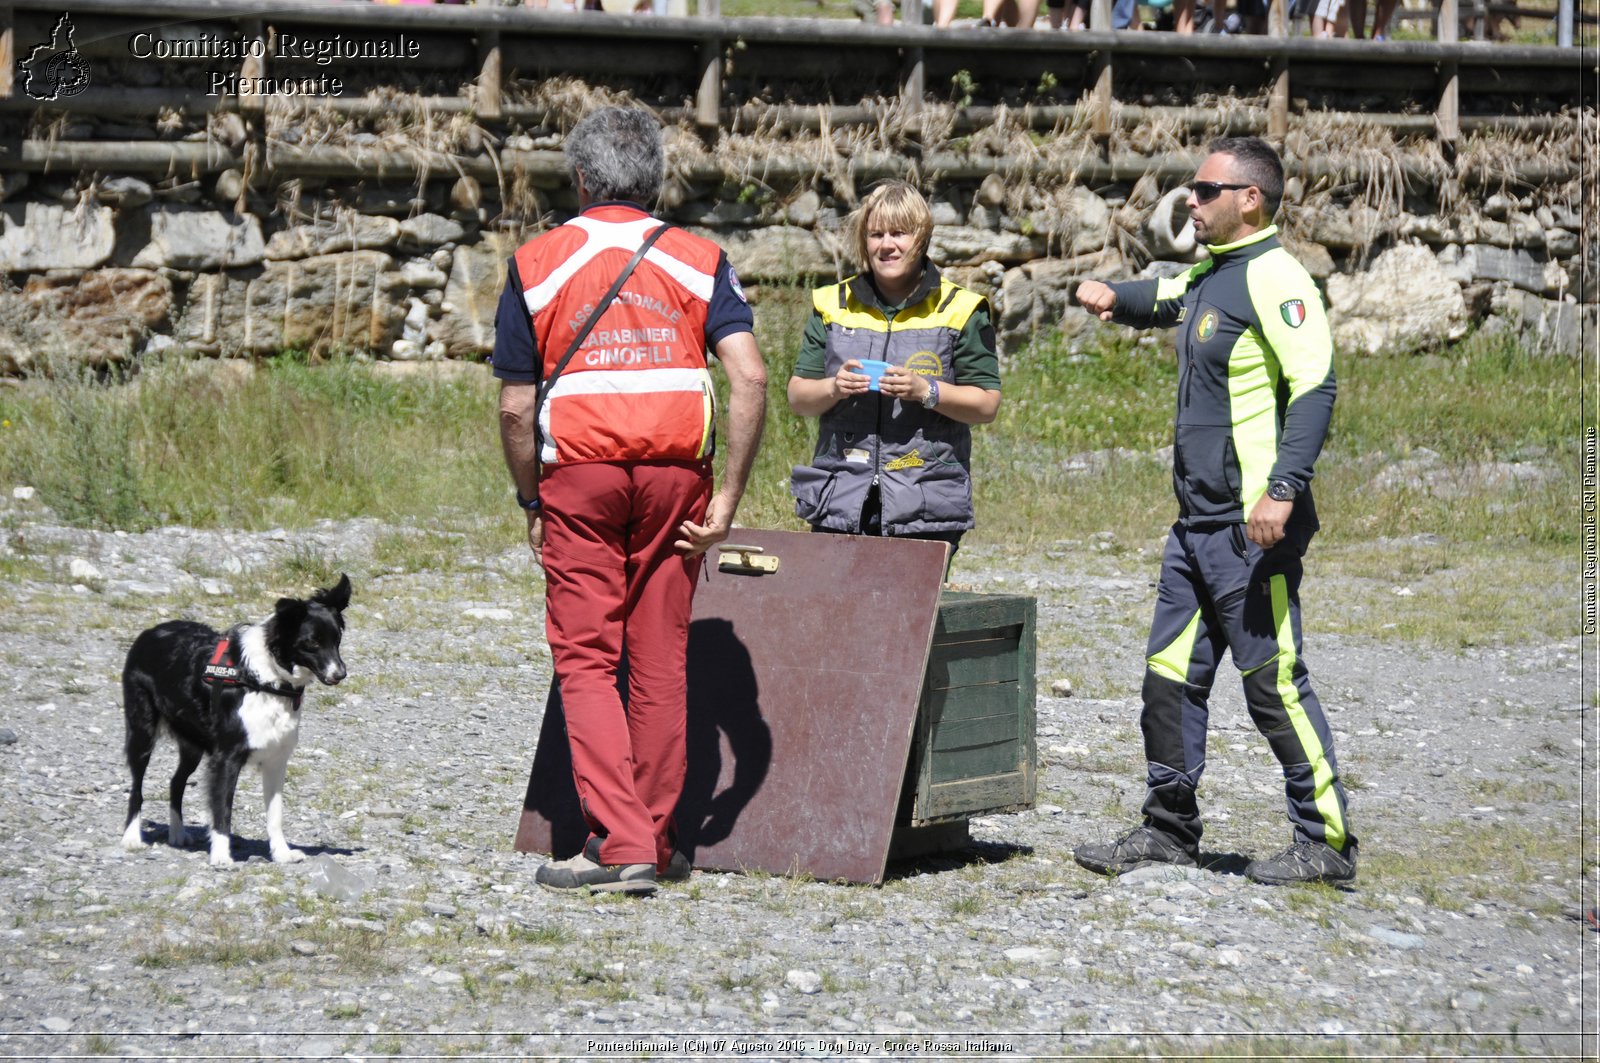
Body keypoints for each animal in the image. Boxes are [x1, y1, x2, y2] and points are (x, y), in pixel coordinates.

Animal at [120, 576, 352, 870]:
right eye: (312, 643)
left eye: (337, 640)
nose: (340, 674)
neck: (268, 679)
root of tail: (149, 632)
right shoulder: (226, 757)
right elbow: (222, 809)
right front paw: (221, 855)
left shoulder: (276, 760)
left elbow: (275, 815)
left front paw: (282, 853)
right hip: (142, 732)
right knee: (137, 787)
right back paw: (131, 837)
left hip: (193, 745)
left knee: (175, 782)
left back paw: (177, 833)